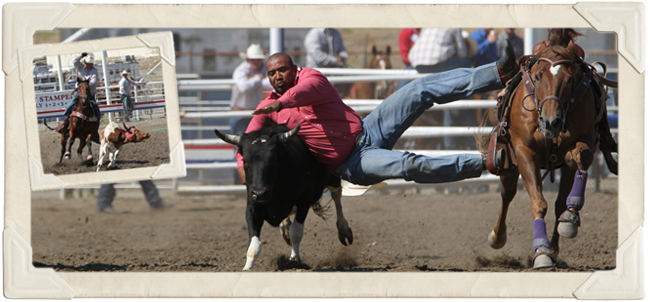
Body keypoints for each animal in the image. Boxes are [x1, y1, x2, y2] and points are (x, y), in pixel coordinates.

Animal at [215, 121, 352, 270]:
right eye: (245, 161)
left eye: (273, 160)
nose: (259, 193)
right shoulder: (252, 207)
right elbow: (254, 245)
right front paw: (247, 268)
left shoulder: (303, 202)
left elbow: (296, 233)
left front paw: (294, 260)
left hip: (333, 178)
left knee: (337, 197)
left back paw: (344, 230)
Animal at [484, 28, 616, 268]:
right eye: (537, 77)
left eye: (571, 78)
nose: (550, 122)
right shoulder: (524, 151)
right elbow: (538, 203)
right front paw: (541, 251)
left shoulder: (585, 140)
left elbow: (581, 160)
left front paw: (569, 220)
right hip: (508, 161)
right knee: (507, 194)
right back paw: (497, 237)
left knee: (559, 201)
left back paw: (558, 240)